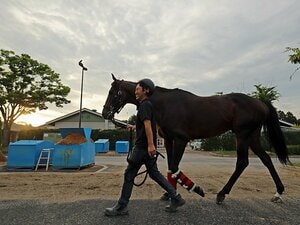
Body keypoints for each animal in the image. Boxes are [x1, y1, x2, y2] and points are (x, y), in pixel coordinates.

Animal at [102, 74, 290, 205]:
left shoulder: (181, 140)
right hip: (252, 137)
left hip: (242, 135)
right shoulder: (169, 140)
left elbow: (174, 167)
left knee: (242, 162)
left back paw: (222, 194)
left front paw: (193, 188)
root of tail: (261, 103)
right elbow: (170, 169)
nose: (104, 113)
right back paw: (278, 192)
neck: (164, 103)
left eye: (112, 92)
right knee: (266, 159)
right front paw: (169, 193)